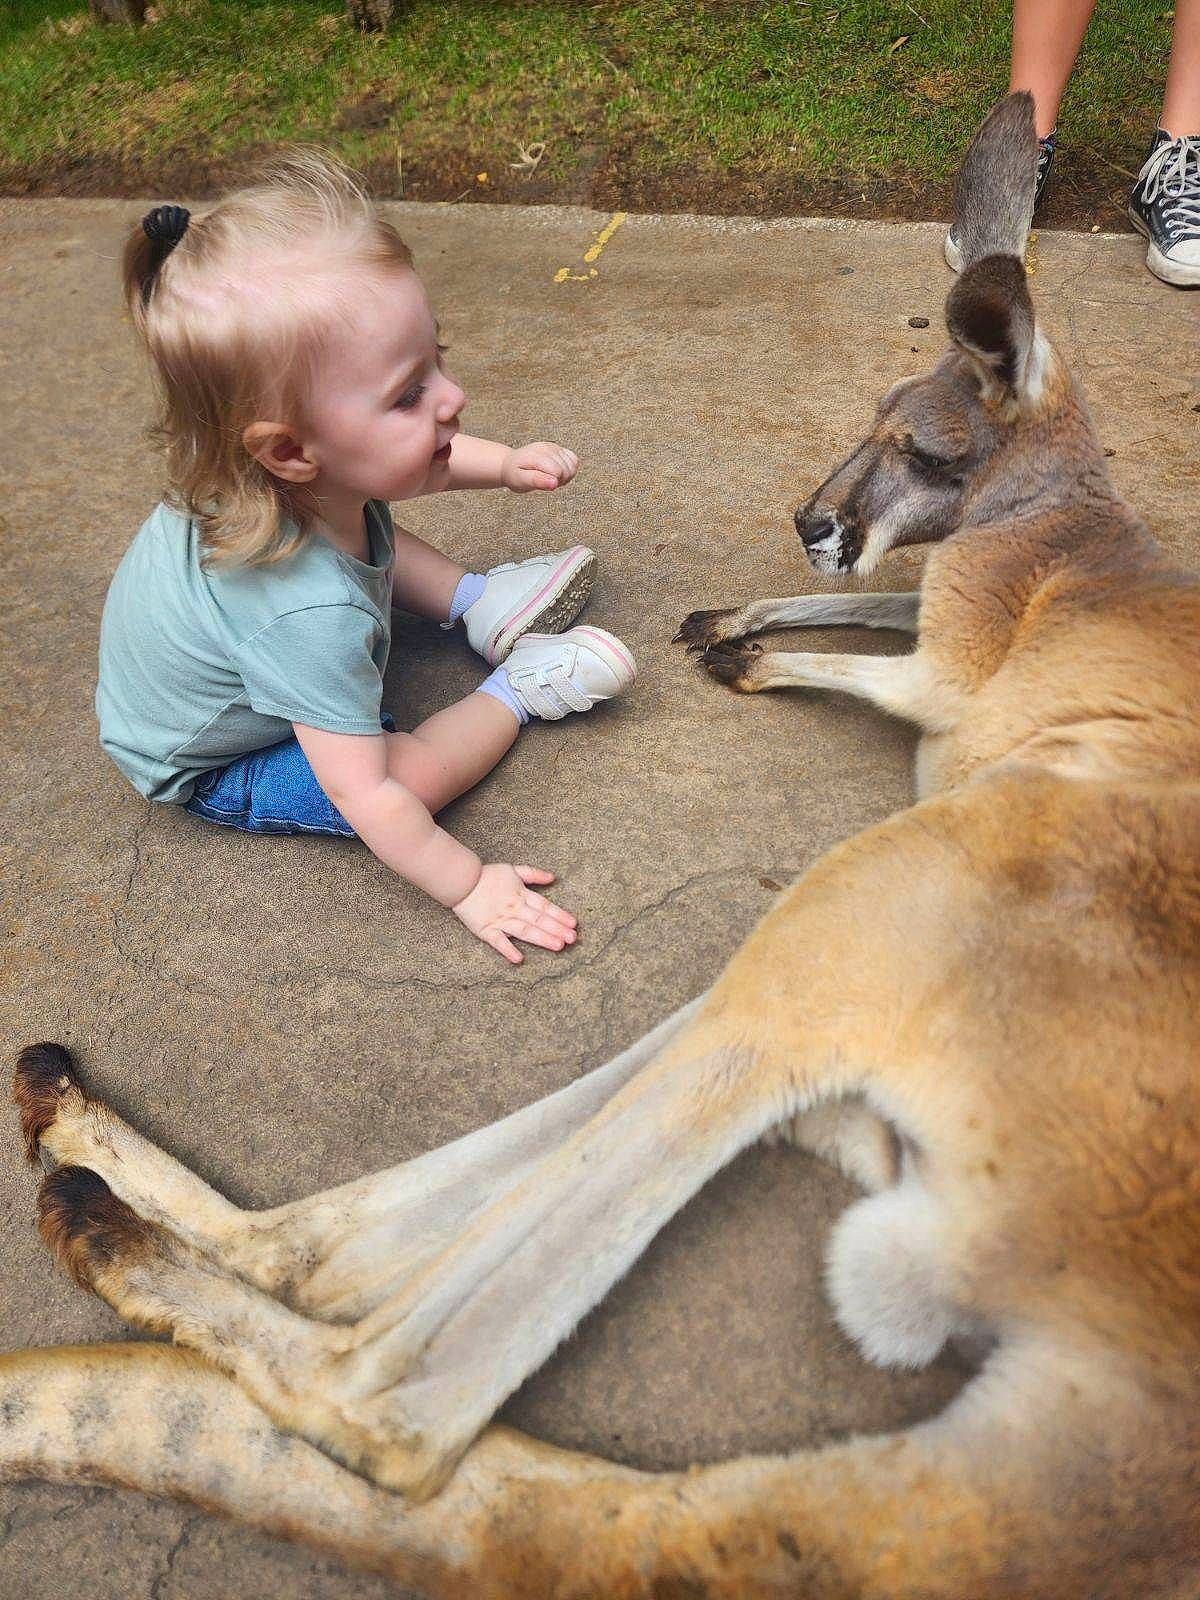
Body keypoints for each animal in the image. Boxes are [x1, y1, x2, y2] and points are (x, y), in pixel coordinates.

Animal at [6, 94, 1200, 1598]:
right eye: (870, 423)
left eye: (925, 450)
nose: (812, 519)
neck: (1049, 512)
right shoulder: (942, 611)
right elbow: (866, 612)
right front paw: (735, 620)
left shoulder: (963, 649)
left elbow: (890, 654)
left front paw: (751, 653)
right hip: (850, 977)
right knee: (340, 1259)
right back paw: (74, 1141)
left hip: (898, 893)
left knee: (386, 1399)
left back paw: (102, 1219)